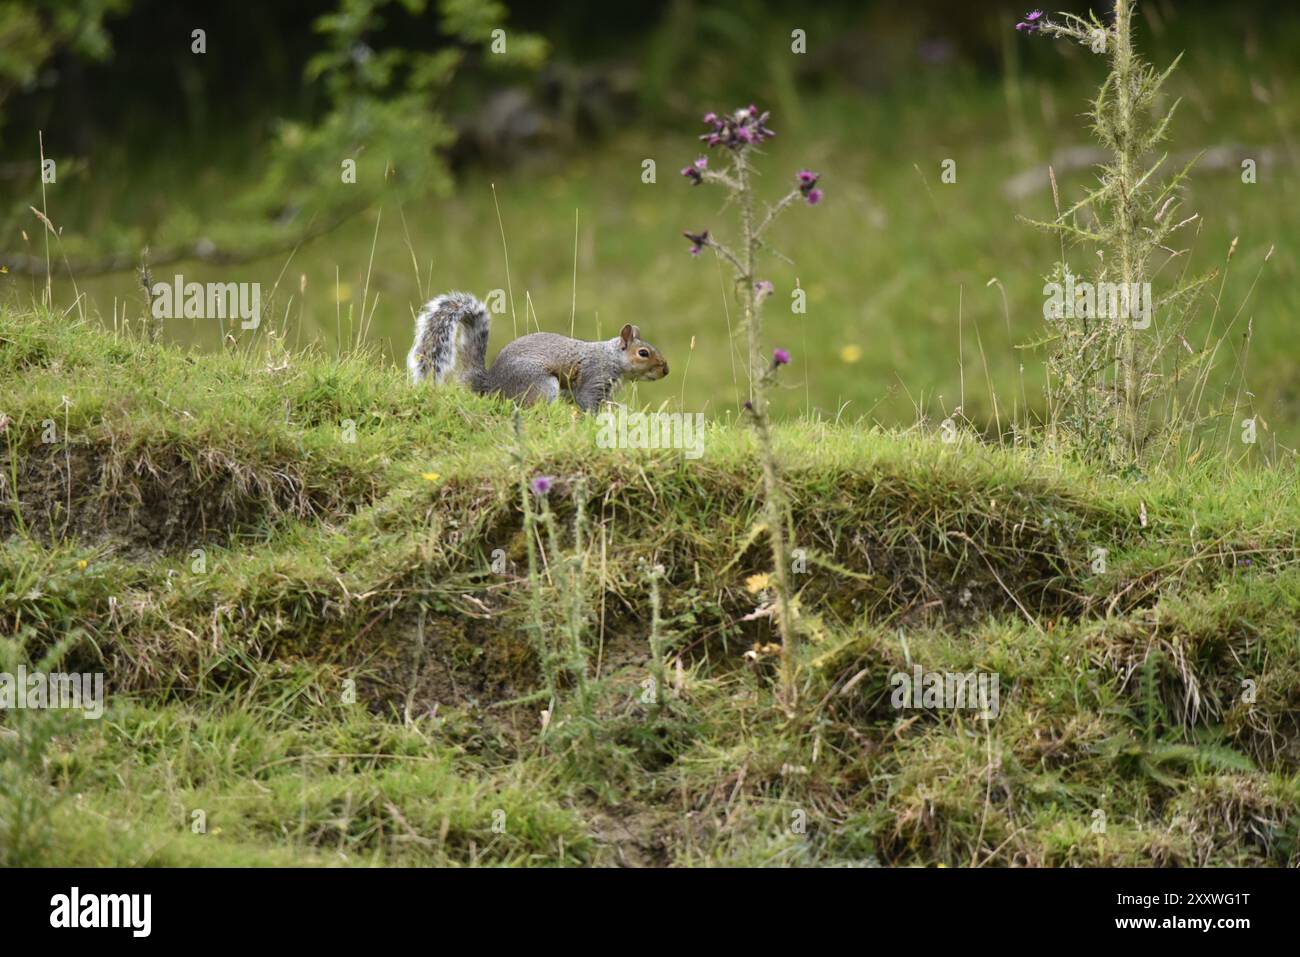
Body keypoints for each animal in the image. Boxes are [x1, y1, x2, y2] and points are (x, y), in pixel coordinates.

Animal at [405, 291, 670, 410]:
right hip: (540, 383)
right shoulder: (594, 377)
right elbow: (588, 402)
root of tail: (491, 386)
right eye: (643, 353)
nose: (666, 370)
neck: (612, 357)